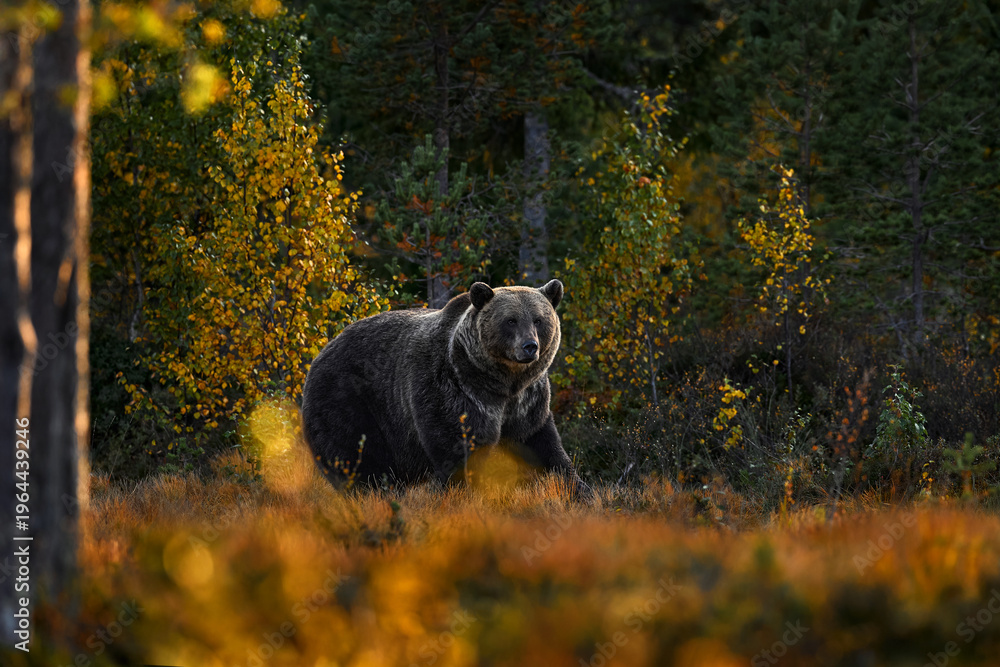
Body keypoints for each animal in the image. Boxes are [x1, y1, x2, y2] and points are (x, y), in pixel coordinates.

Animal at [300, 279, 590, 498]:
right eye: (511, 320)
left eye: (539, 320)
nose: (530, 346)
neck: (500, 382)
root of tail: (321, 351)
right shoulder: (453, 390)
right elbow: (457, 447)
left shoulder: (527, 401)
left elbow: (544, 447)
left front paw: (579, 491)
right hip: (349, 402)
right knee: (356, 459)